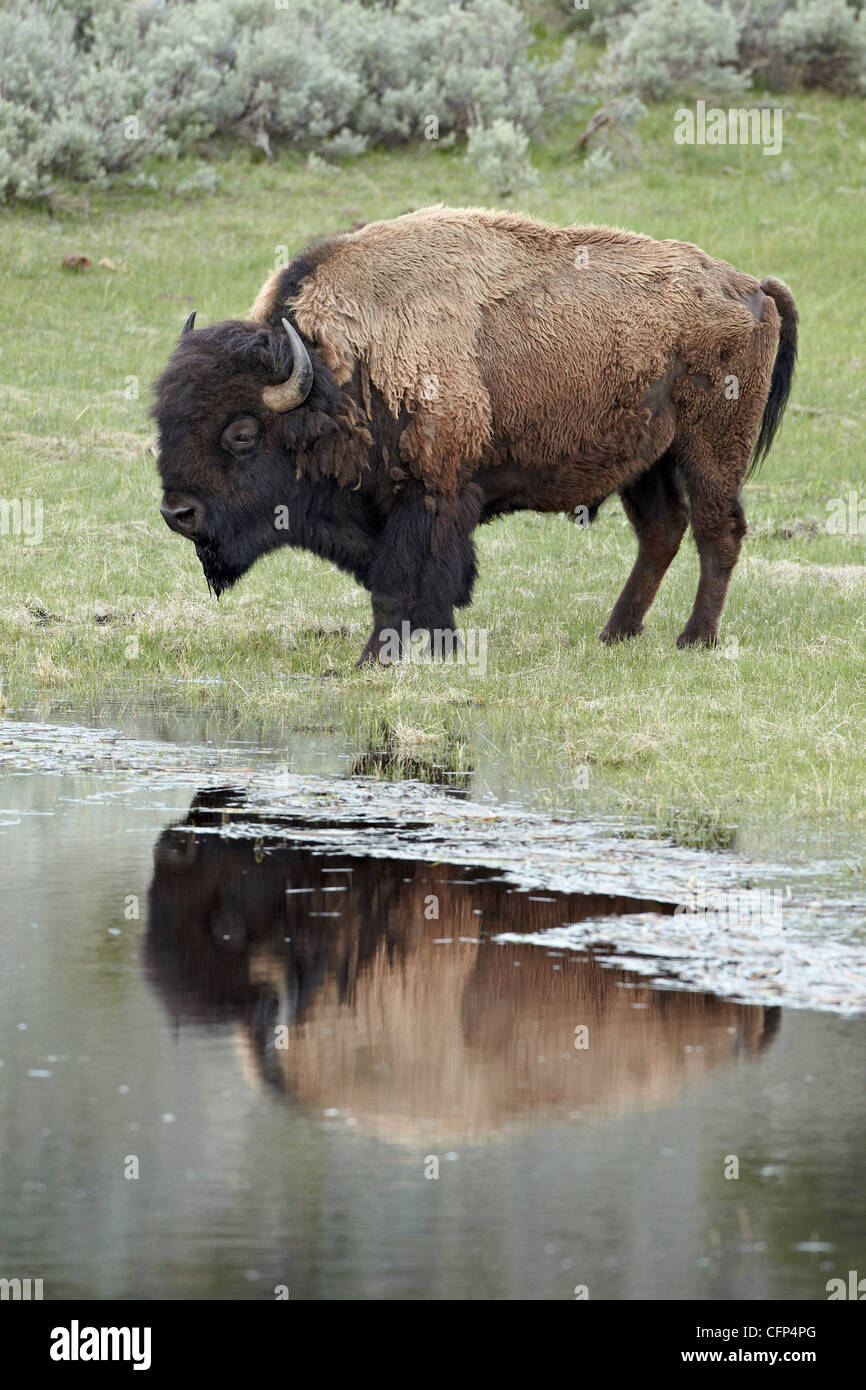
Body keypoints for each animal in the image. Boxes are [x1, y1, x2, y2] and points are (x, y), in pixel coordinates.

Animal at [154, 206, 797, 664]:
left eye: (241, 434)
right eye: (163, 419)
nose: (177, 513)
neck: (336, 374)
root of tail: (751, 287)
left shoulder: (430, 496)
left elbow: (399, 587)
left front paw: (374, 662)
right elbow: (427, 590)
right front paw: (444, 650)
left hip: (710, 449)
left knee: (718, 532)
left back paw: (694, 640)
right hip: (646, 461)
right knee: (662, 532)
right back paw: (615, 635)